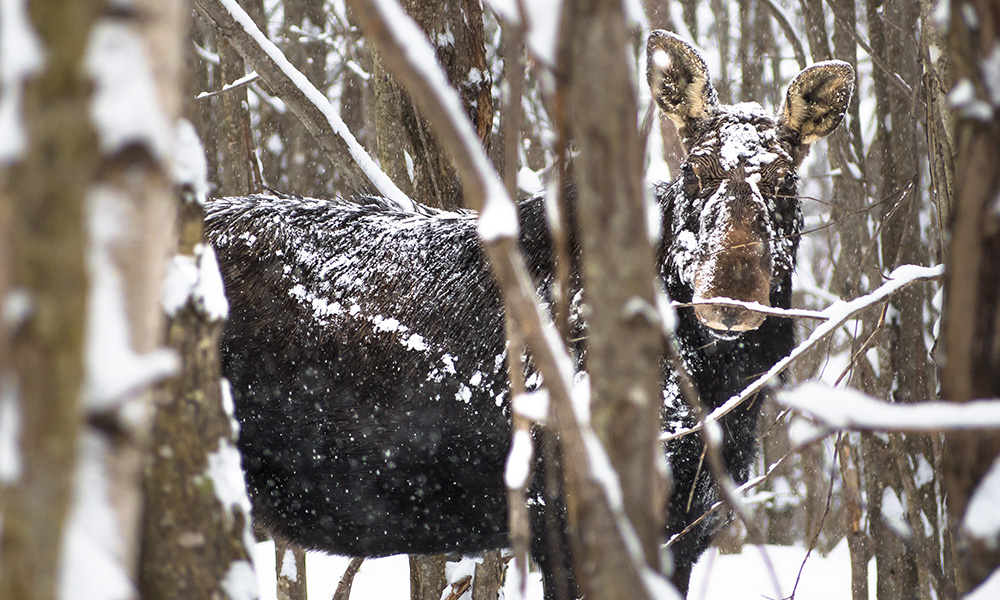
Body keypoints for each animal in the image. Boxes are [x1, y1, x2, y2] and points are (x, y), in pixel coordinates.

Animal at [207, 31, 856, 596]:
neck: (720, 397)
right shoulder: (567, 521)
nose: (729, 294)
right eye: (693, 171)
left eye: (786, 182)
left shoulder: (688, 529)